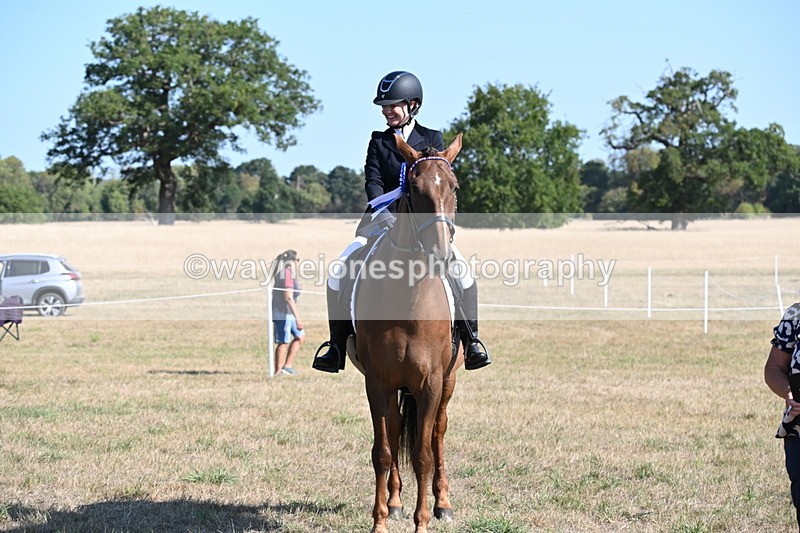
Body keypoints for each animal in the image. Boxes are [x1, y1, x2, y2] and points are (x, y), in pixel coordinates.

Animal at [348, 133, 464, 533]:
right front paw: (380, 521)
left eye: (454, 187)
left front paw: (423, 522)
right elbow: (383, 452)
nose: (442, 255)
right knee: (398, 428)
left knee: (439, 433)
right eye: (413, 189)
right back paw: (396, 502)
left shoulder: (430, 382)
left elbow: (423, 454)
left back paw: (443, 503)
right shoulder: (377, 382)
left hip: (448, 382)